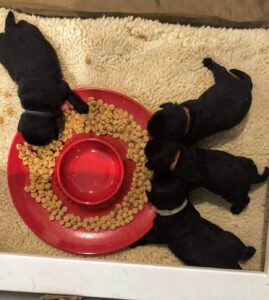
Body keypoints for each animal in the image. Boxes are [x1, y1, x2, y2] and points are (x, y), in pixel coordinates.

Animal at [0, 12, 89, 146]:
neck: (37, 108)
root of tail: (10, 29)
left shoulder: (62, 87)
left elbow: (72, 96)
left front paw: (82, 108)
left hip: (28, 28)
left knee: (21, 23)